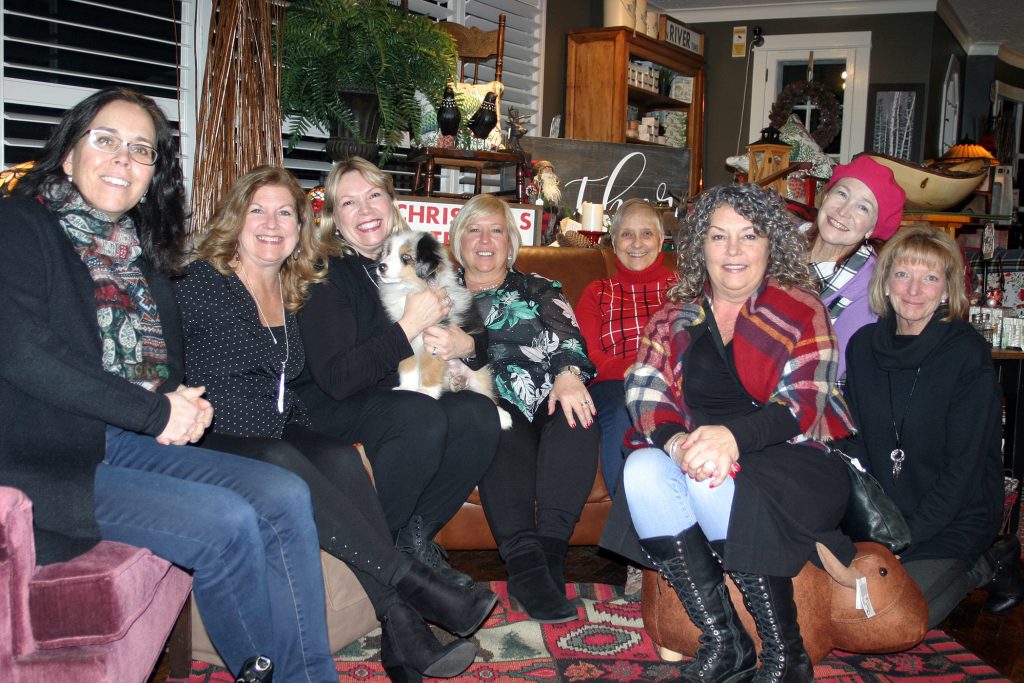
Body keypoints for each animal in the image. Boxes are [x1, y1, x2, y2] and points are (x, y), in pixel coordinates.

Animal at [376, 232, 512, 430]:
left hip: (479, 373)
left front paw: (426, 392)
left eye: (406, 257)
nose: (381, 266)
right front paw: (406, 388)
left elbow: (429, 369)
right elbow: (407, 367)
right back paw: (456, 383)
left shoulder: (436, 340)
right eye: (387, 253)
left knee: (487, 396)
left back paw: (502, 417)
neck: (410, 289)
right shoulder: (406, 337)